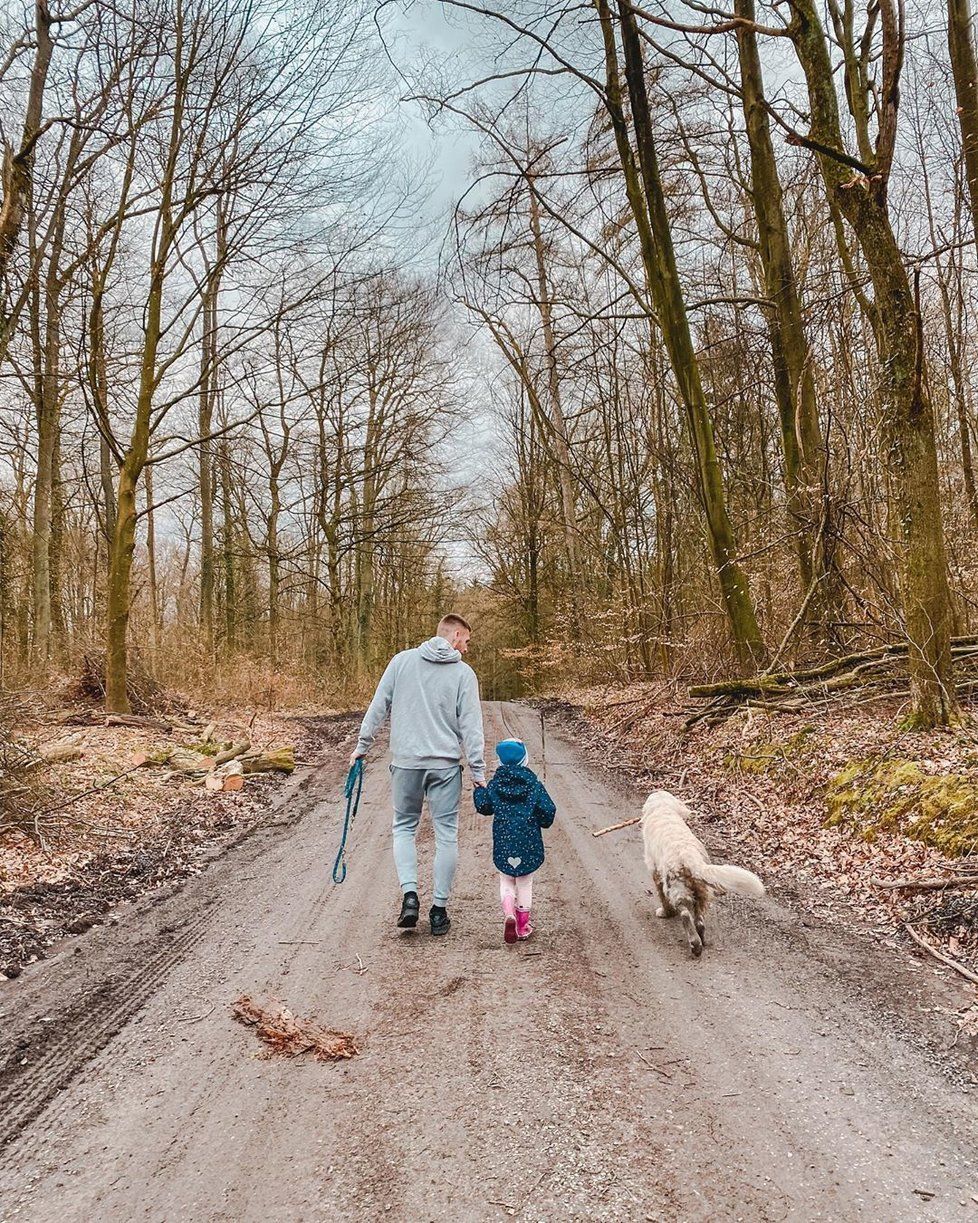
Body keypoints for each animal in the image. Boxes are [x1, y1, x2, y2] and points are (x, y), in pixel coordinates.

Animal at [635, 792, 767, 953]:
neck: (663, 809)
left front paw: (665, 913)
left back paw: (695, 944)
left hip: (676, 888)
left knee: (685, 914)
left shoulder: (655, 871)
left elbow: (662, 897)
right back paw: (701, 941)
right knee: (699, 921)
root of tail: (690, 858)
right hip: (701, 891)